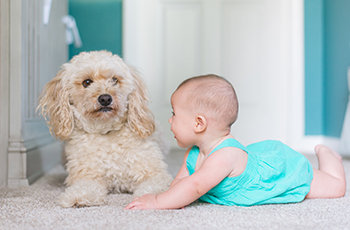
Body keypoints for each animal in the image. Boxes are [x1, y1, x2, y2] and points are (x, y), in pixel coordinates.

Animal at [38, 50, 172, 208]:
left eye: (114, 80)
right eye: (87, 82)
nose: (105, 99)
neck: (106, 131)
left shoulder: (155, 174)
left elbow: (154, 186)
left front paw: (149, 198)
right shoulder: (87, 175)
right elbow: (84, 187)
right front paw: (78, 197)